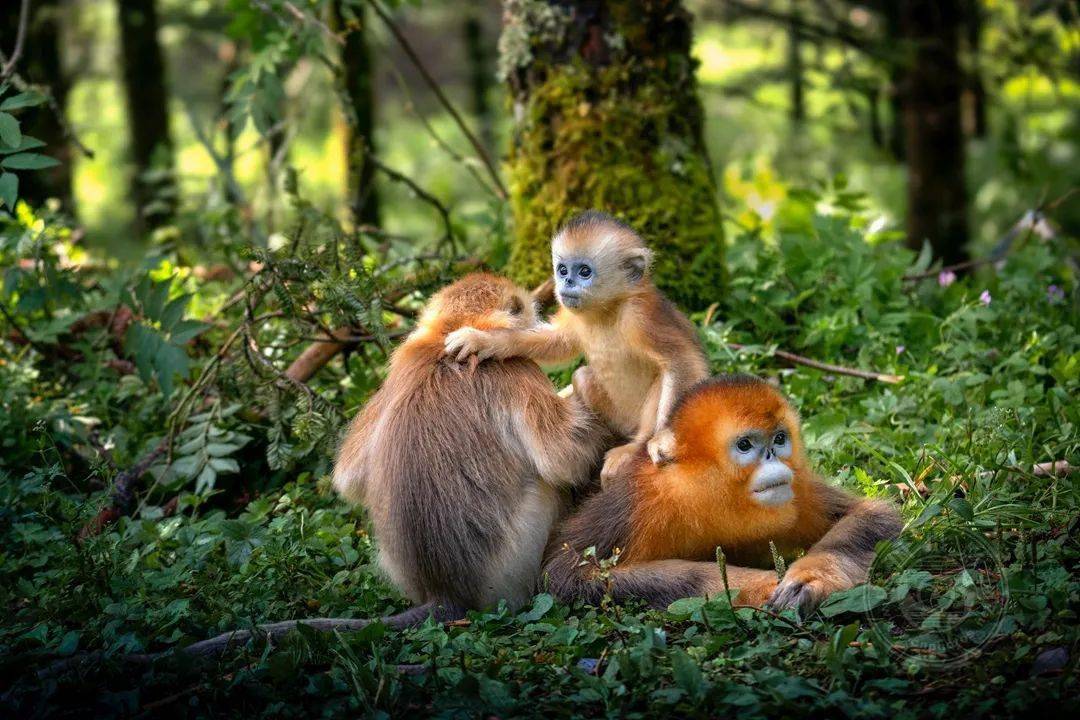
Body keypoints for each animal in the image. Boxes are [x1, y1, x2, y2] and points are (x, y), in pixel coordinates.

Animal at [333, 273, 611, 626]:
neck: (444, 339)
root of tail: (444, 593)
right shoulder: (514, 368)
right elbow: (563, 461)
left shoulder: (406, 356)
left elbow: (347, 479)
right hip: (512, 565)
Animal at [444, 211, 709, 485]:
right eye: (562, 270)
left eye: (584, 272)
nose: (567, 282)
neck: (606, 312)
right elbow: (556, 342)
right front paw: (482, 340)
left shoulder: (641, 316)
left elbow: (682, 361)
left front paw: (659, 441)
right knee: (581, 375)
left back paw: (635, 446)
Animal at [543, 374, 903, 613]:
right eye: (745, 445)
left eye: (780, 439)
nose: (773, 459)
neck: (703, 496)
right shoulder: (635, 504)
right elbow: (564, 574)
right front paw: (758, 585)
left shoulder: (797, 492)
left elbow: (872, 515)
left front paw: (810, 578)